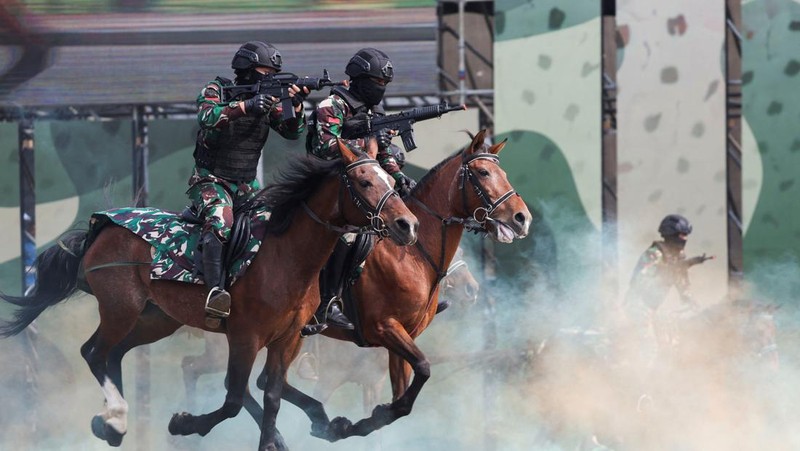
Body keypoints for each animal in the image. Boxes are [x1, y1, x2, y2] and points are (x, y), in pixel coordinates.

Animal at [0, 141, 422, 451]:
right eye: (364, 182)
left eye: (390, 179)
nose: (407, 224)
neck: (286, 256)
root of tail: (101, 226)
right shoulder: (245, 336)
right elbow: (234, 399)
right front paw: (184, 423)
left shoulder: (287, 340)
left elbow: (271, 396)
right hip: (121, 307)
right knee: (94, 352)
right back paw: (116, 417)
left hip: (155, 319)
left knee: (113, 354)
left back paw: (111, 425)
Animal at [272, 130, 536, 442]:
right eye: (483, 172)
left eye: (503, 173)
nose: (522, 218)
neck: (411, 255)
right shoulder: (378, 333)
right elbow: (423, 368)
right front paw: (337, 426)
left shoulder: (396, 345)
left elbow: (403, 397)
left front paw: (366, 420)